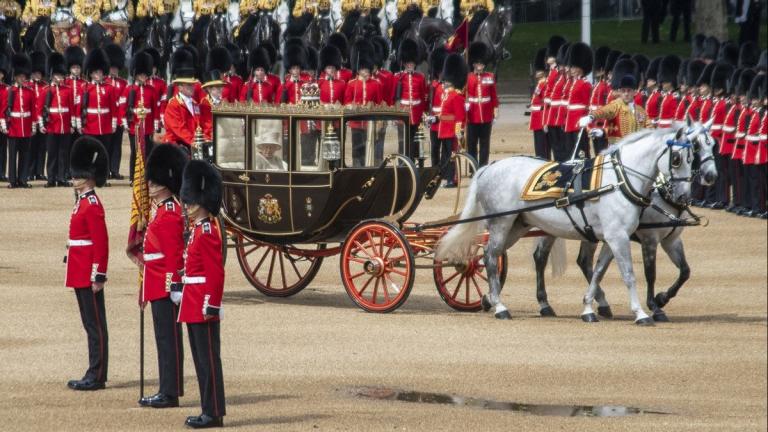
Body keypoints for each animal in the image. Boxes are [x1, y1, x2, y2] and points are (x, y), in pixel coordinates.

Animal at [438, 125, 696, 324]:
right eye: (676, 159)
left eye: (692, 158)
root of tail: (489, 166)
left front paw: (589, 308)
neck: (620, 181)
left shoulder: (615, 238)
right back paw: (501, 307)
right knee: (492, 256)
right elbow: (631, 274)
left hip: (518, 225)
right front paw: (642, 312)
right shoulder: (625, 237)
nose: (684, 196)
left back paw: (490, 298)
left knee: (489, 254)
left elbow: (599, 272)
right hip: (502, 222)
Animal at [528, 120, 720, 322]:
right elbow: (650, 273)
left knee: (584, 262)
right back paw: (545, 304)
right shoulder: (649, 238)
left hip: (585, 231)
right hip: (550, 229)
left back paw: (601, 303)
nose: (711, 176)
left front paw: (662, 298)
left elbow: (685, 271)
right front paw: (654, 306)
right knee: (541, 258)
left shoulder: (671, 239)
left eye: (713, 145)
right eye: (695, 146)